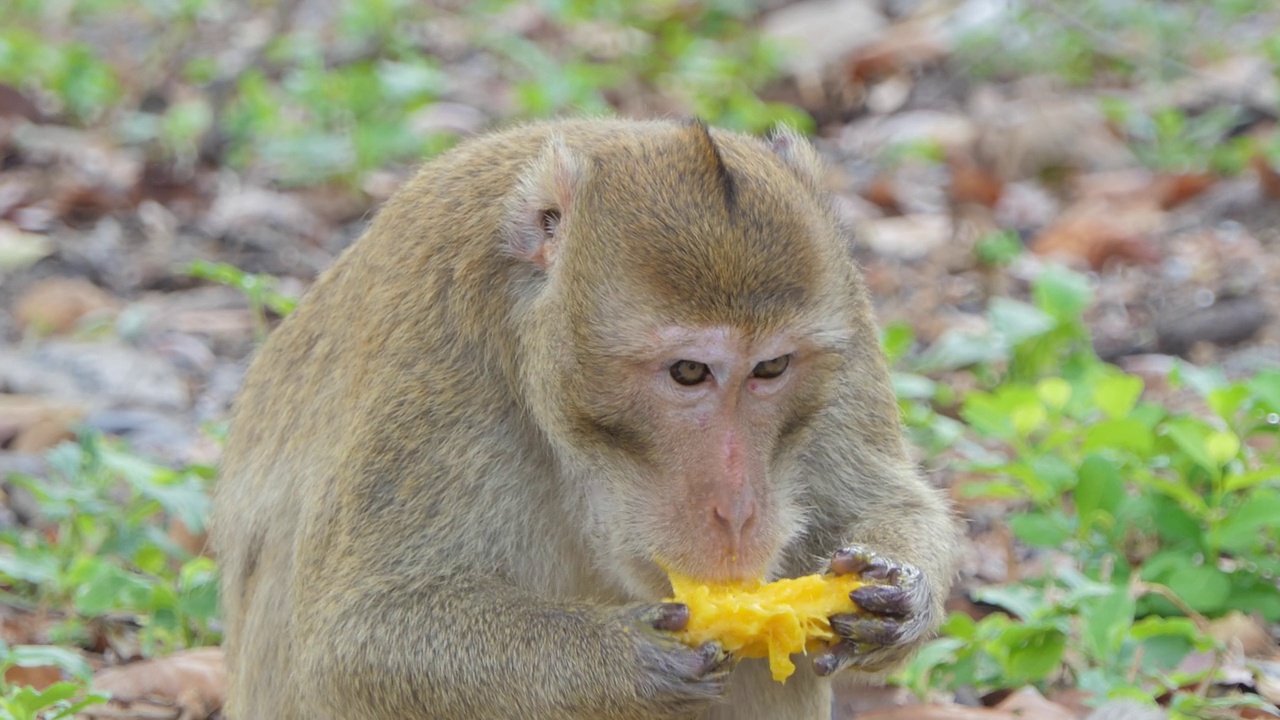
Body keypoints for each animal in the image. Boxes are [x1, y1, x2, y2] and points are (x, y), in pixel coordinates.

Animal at [209, 117, 962, 717]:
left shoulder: (850, 315)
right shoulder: (431, 353)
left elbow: (884, 501)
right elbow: (354, 636)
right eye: (689, 373)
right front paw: (624, 657)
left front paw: (900, 593)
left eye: (770, 369)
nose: (738, 511)